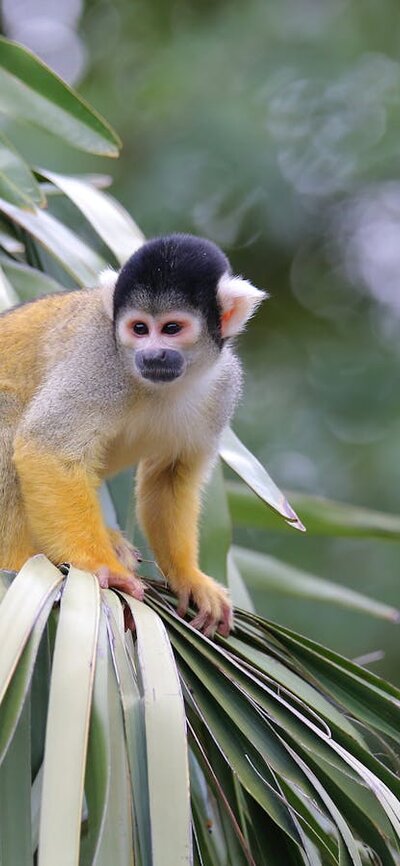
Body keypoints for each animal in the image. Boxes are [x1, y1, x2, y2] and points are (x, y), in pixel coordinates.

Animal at [0, 234, 265, 636]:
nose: (153, 354)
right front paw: (99, 566)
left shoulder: (224, 386)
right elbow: (47, 447)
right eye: (139, 329)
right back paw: (16, 565)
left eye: (171, 329)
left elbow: (170, 477)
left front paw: (189, 577)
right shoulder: (99, 360)